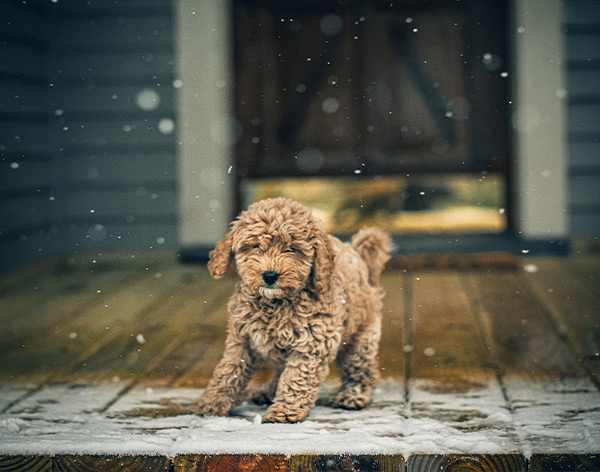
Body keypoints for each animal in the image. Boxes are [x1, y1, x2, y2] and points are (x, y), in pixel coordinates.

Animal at [191, 197, 390, 422]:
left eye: (292, 249)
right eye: (255, 245)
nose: (270, 275)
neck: (274, 303)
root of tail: (360, 257)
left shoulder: (313, 341)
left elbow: (297, 377)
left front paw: (284, 411)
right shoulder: (242, 338)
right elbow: (229, 370)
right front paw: (211, 402)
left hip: (361, 336)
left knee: (360, 369)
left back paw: (352, 396)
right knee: (280, 369)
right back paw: (267, 392)